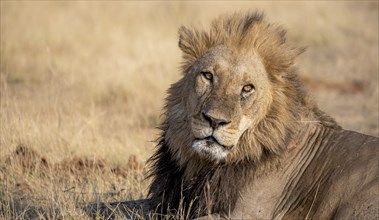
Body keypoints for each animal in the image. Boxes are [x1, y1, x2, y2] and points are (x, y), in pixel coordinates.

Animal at [84, 12, 378, 220]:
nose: (214, 121)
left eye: (247, 88)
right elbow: (104, 206)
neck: (204, 165)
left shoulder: (248, 214)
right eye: (208, 75)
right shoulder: (166, 201)